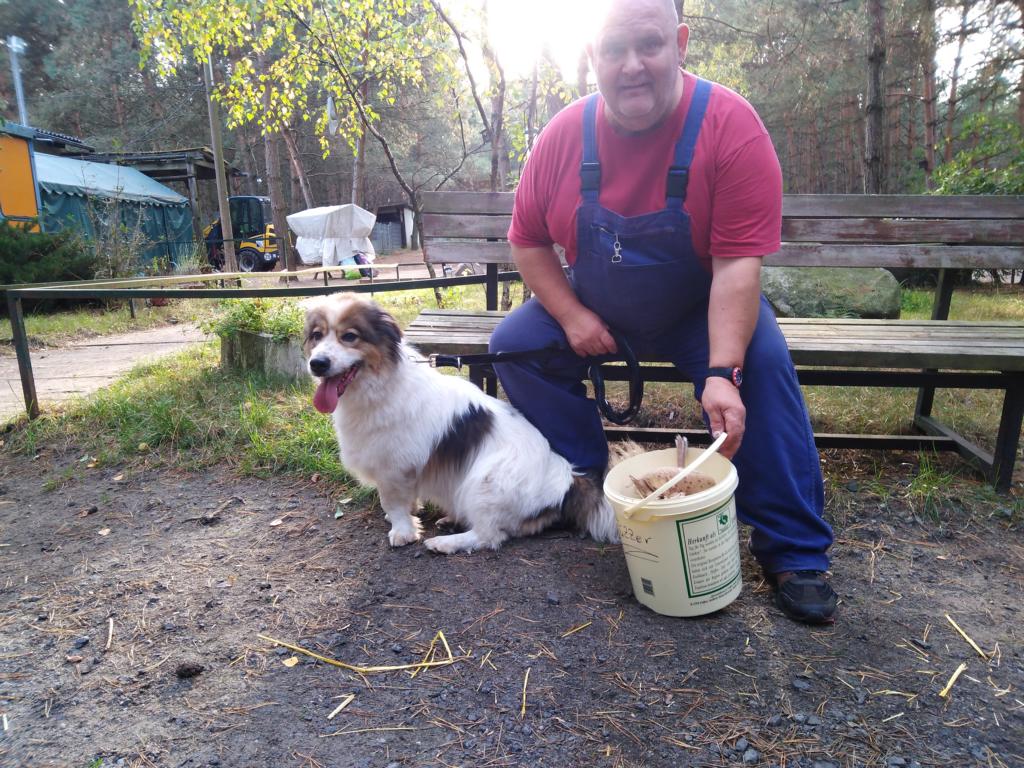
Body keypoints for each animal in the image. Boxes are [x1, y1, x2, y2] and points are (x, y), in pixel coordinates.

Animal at [302, 294, 619, 554]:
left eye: (350, 336)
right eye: (316, 335)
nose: (317, 364)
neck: (380, 382)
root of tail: (567, 480)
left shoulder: (395, 467)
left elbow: (392, 501)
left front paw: (402, 531)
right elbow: (405, 500)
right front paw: (409, 514)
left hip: (483, 483)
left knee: (489, 536)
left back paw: (445, 542)